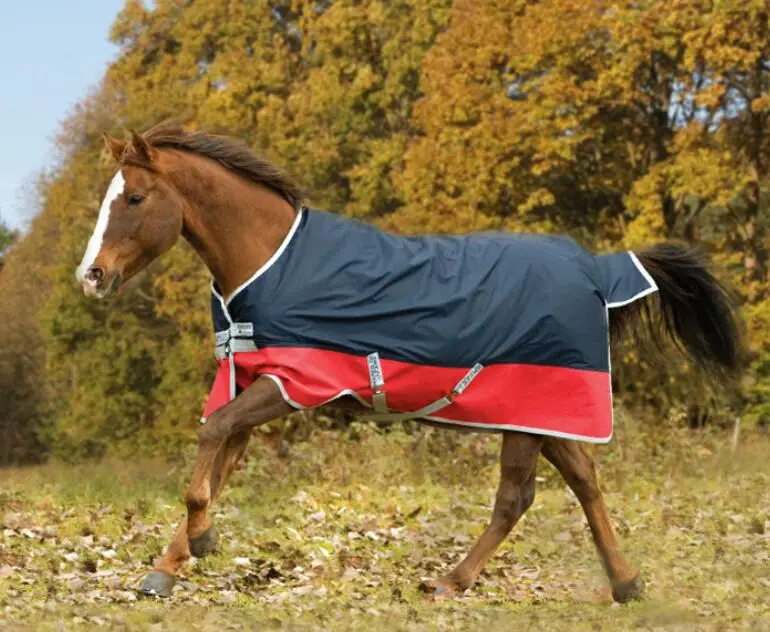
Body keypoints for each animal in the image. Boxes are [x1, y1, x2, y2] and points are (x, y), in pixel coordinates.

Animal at [74, 121, 743, 601]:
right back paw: (626, 584)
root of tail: (594, 271)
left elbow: (209, 443)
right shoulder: (254, 386)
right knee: (580, 480)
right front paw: (167, 568)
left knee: (518, 496)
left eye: (134, 197)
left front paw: (202, 541)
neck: (273, 260)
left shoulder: (292, 384)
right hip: (540, 414)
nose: (92, 276)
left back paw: (451, 580)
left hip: (528, 407)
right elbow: (216, 466)